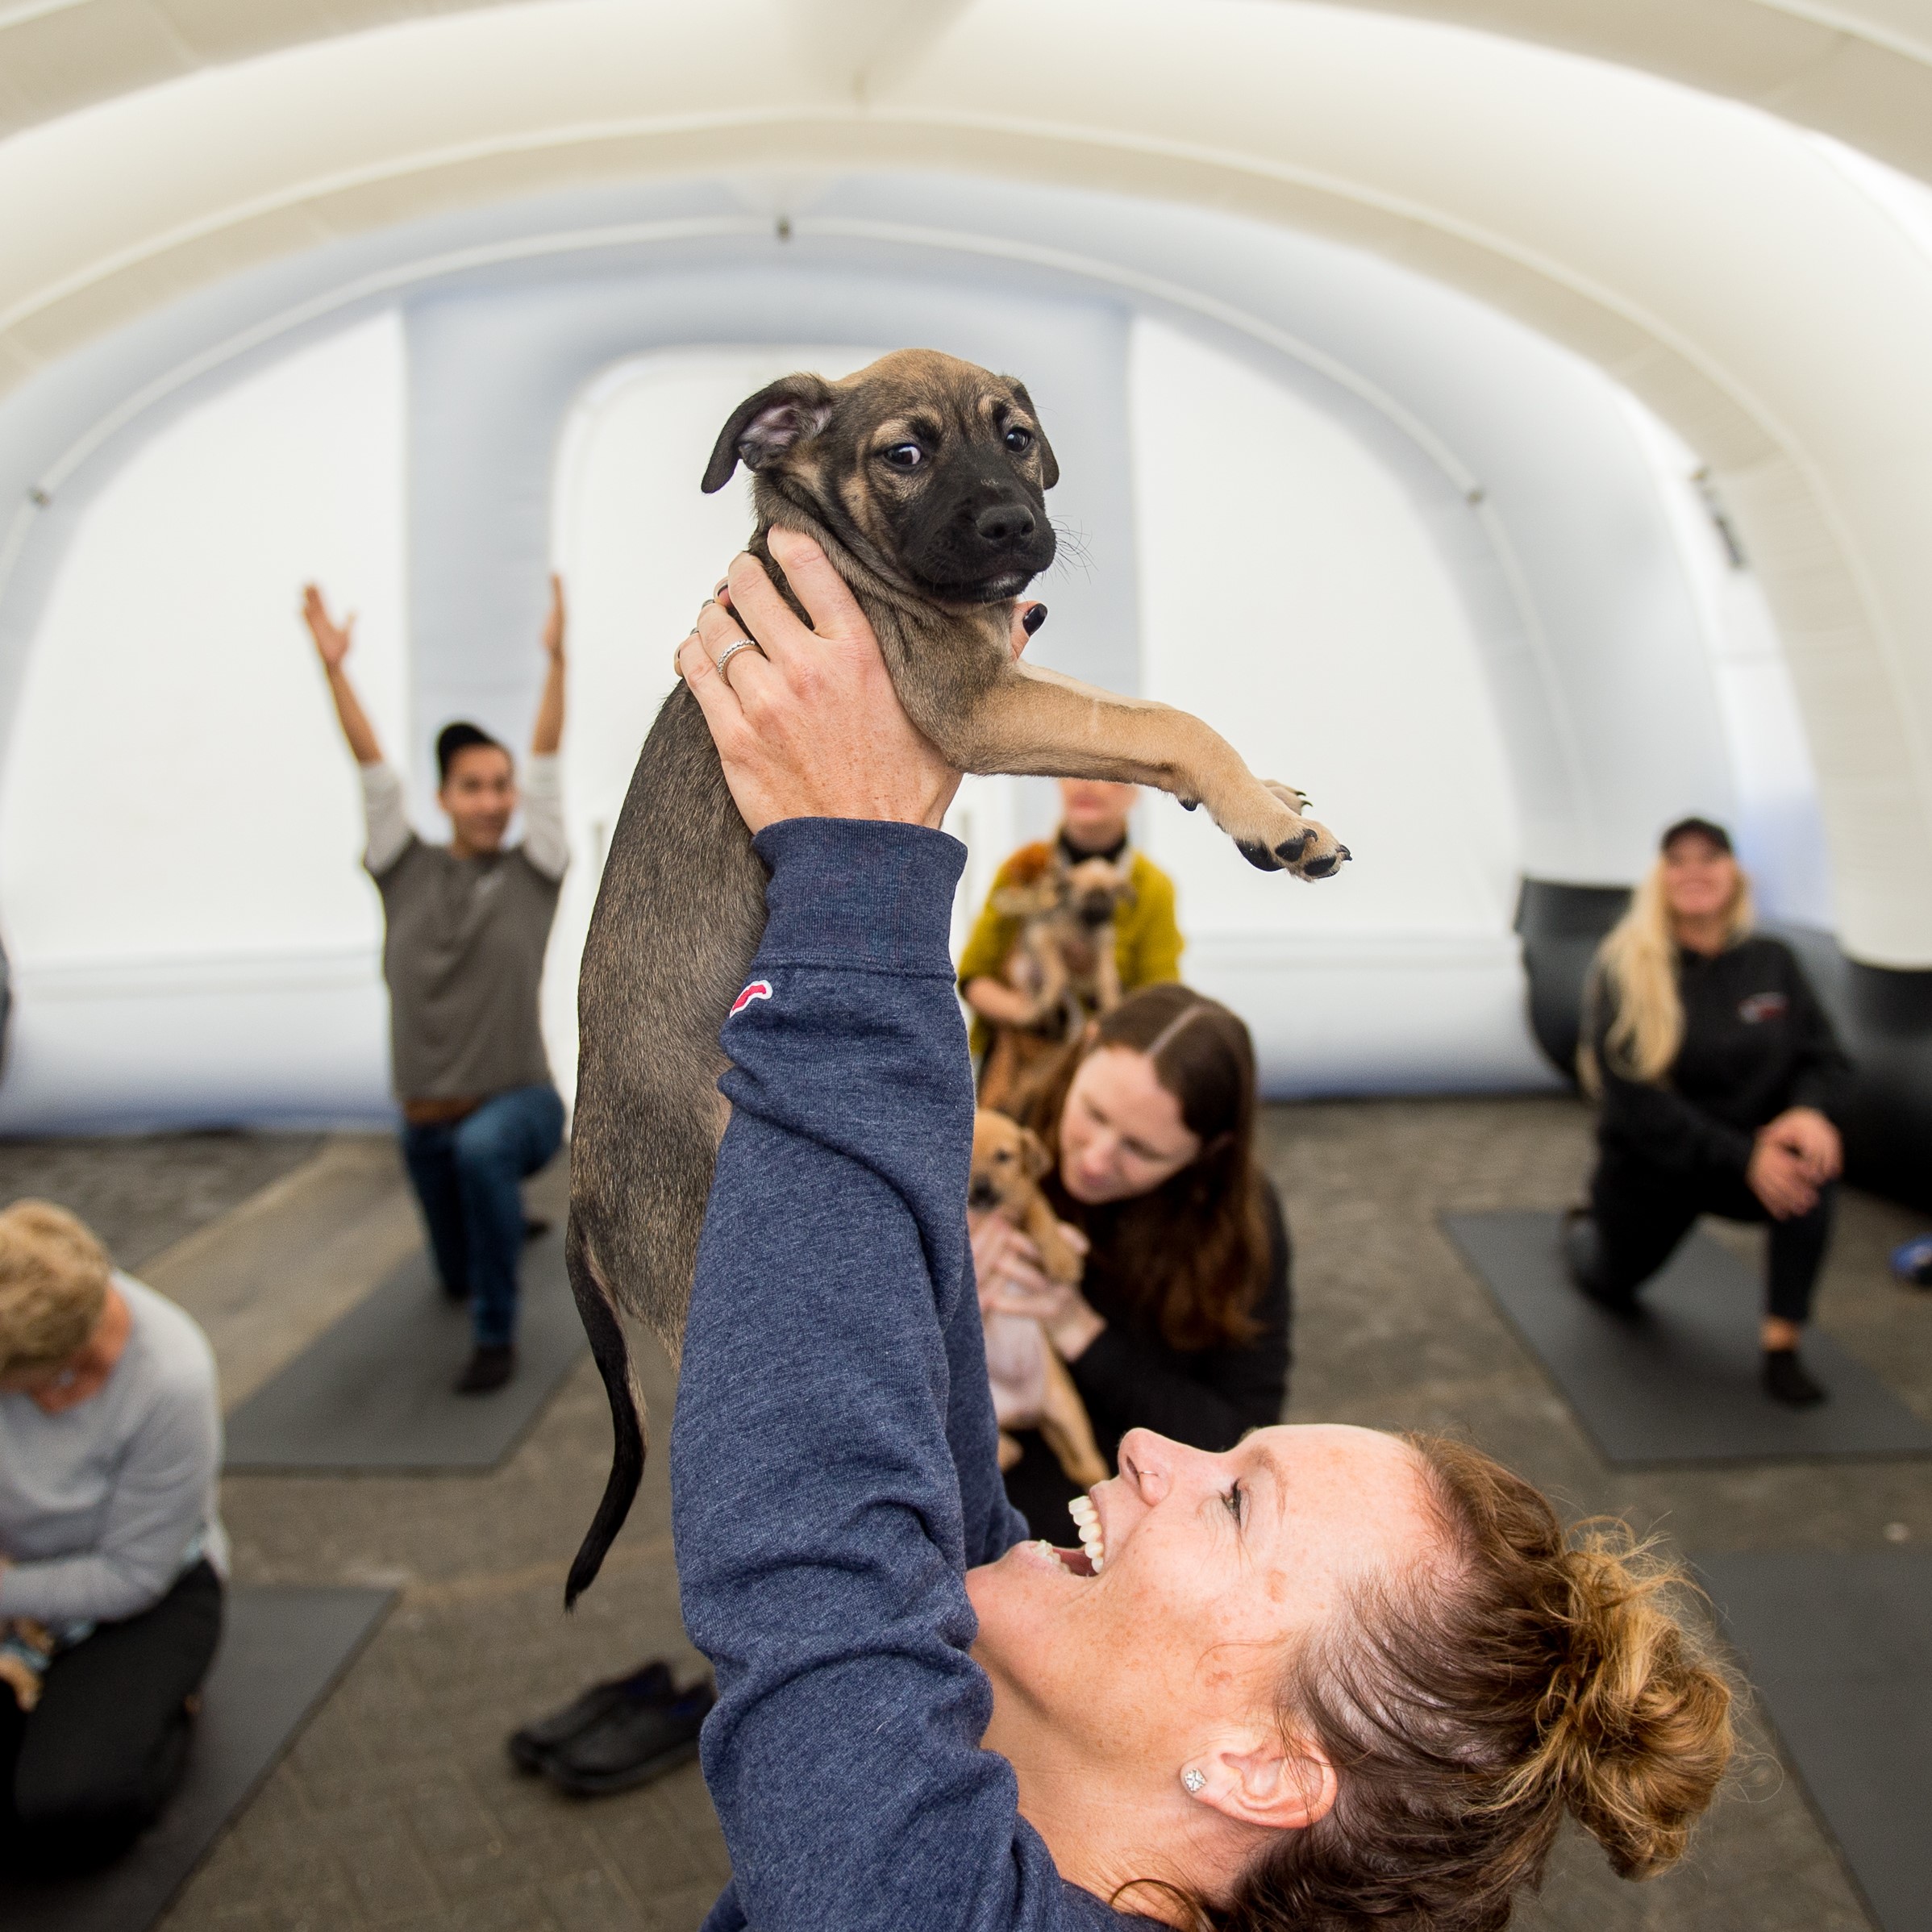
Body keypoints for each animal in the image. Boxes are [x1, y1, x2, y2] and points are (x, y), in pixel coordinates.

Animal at [962, 1105, 1105, 1491]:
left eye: (1003, 1157)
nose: (981, 1188)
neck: (987, 1215)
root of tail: (1027, 1411)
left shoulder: (1028, 1205)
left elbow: (1041, 1216)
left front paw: (1062, 1259)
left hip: (1066, 1407)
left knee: (1086, 1456)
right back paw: (1008, 1450)